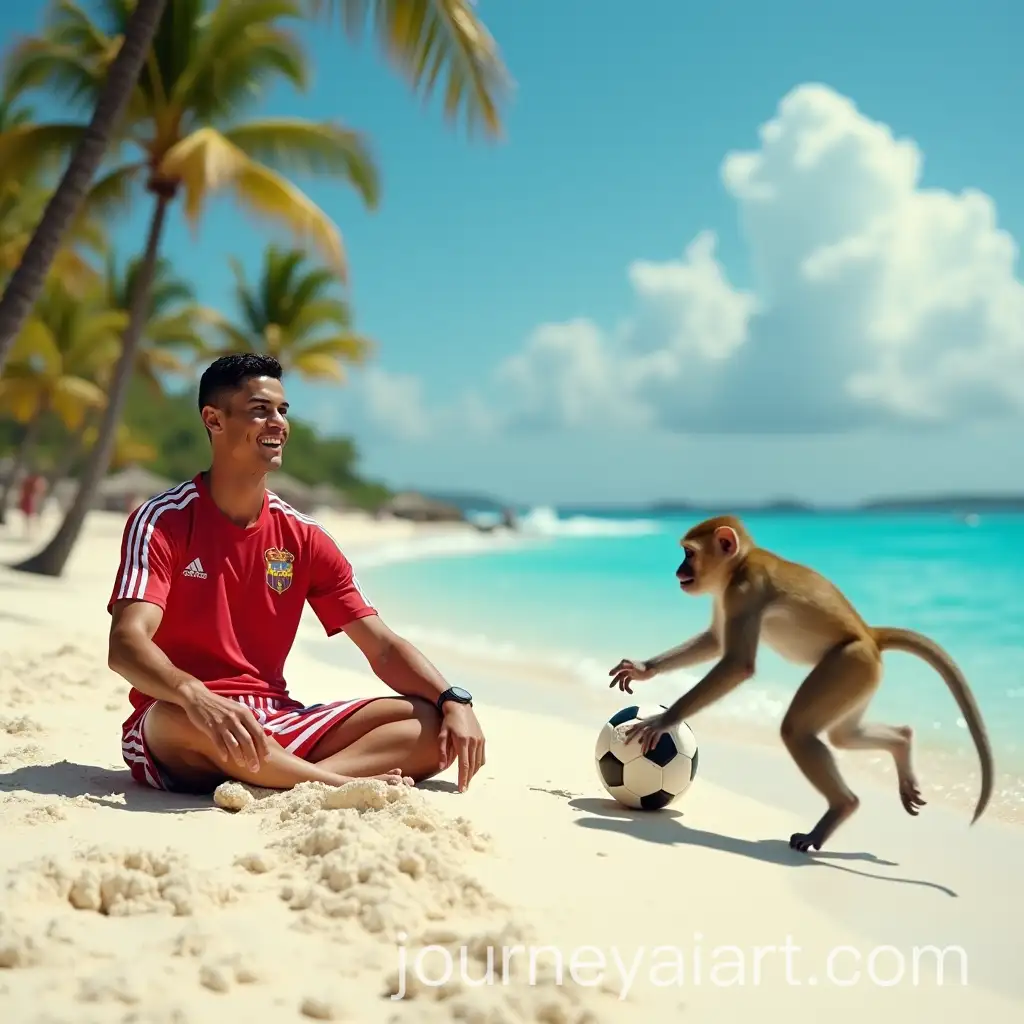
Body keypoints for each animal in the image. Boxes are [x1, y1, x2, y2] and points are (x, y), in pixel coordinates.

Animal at [609, 515, 994, 852]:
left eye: (689, 553)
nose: (679, 571)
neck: (739, 564)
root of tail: (869, 634)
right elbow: (717, 643)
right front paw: (642, 669)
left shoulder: (744, 591)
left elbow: (737, 664)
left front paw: (664, 719)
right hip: (861, 676)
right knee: (842, 735)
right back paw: (901, 742)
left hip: (849, 664)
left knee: (797, 729)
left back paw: (841, 808)